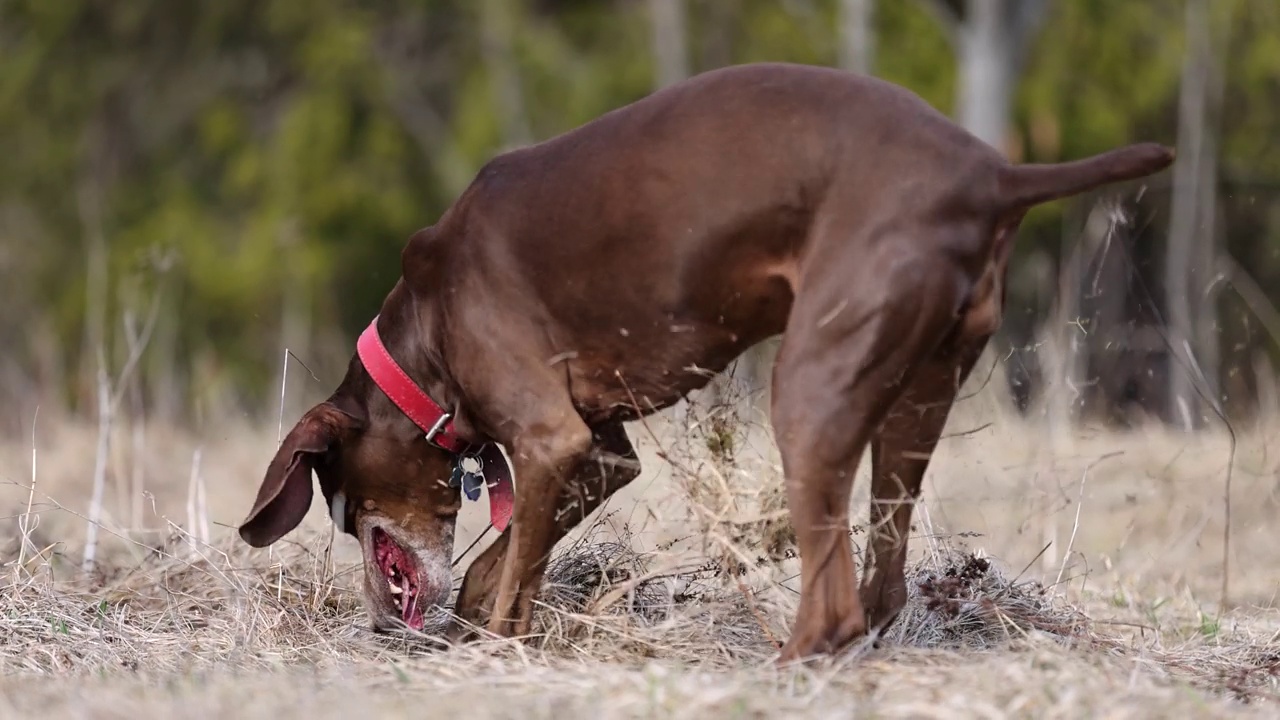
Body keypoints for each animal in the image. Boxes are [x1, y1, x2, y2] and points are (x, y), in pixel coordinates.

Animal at [235, 63, 1172, 661]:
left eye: (340, 510)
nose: (378, 626)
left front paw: (495, 651)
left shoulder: (549, 441)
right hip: (914, 400)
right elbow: (499, 569)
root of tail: (992, 176)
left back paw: (785, 668)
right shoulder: (596, 454)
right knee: (882, 586)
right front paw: (486, 623)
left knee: (835, 602)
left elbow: (509, 576)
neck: (423, 328)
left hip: (810, 391)